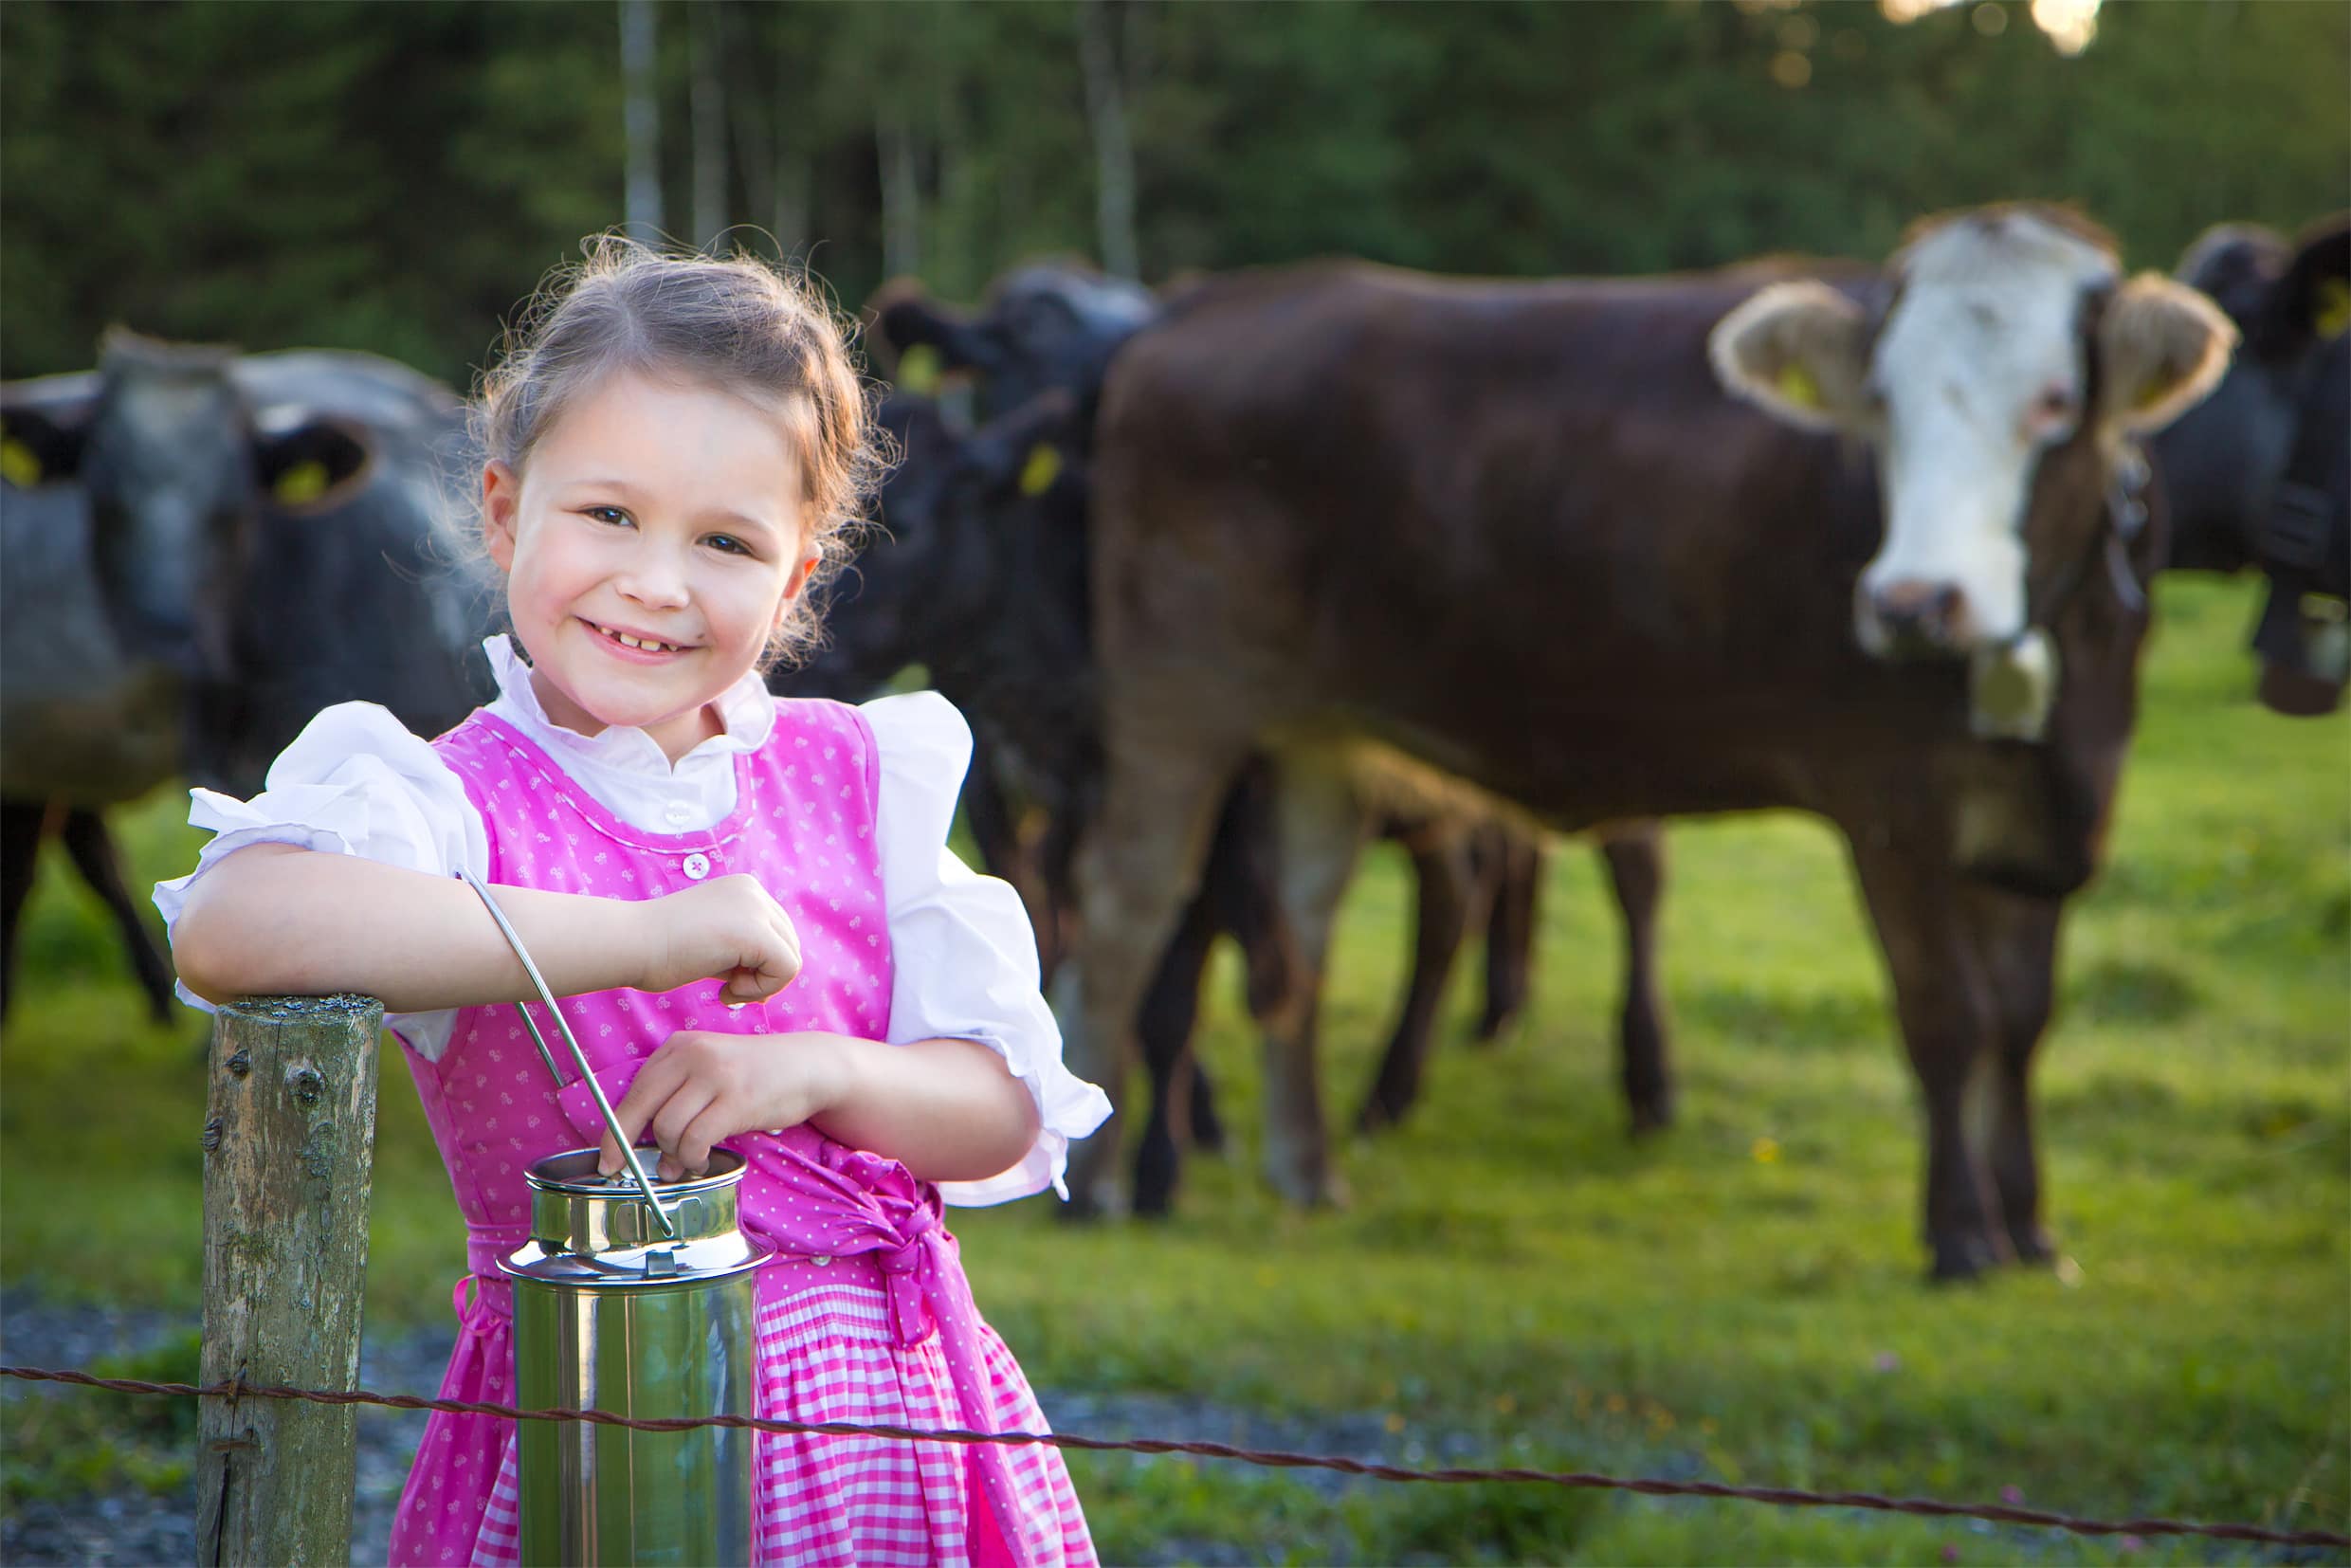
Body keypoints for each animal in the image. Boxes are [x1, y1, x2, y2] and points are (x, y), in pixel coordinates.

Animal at [1058, 205, 2229, 1278]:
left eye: (2055, 402)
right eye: (1880, 406)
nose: (1911, 602)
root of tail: (1207, 302)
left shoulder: (2034, 822)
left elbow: (2020, 1023)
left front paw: (2030, 1228)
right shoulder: (1893, 809)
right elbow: (1948, 1017)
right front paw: (1960, 1234)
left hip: (1316, 740)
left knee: (1297, 942)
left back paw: (1307, 1170)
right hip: (1176, 709)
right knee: (1120, 913)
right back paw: (1099, 1183)